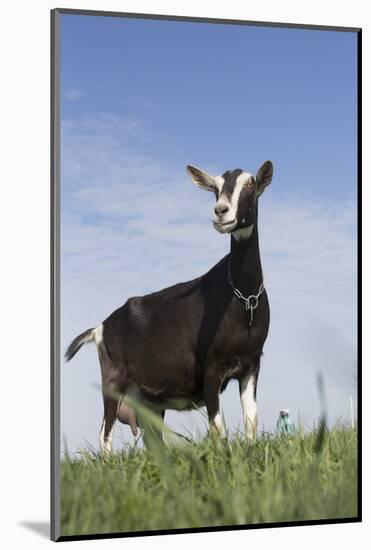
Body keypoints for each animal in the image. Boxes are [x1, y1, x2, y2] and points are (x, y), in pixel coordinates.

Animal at [65, 160, 274, 452]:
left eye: (251, 185)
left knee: (153, 440)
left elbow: (251, 419)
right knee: (104, 434)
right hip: (113, 381)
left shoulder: (252, 364)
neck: (244, 299)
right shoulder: (211, 369)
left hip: (148, 401)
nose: (221, 211)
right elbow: (217, 427)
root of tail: (99, 328)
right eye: (215, 188)